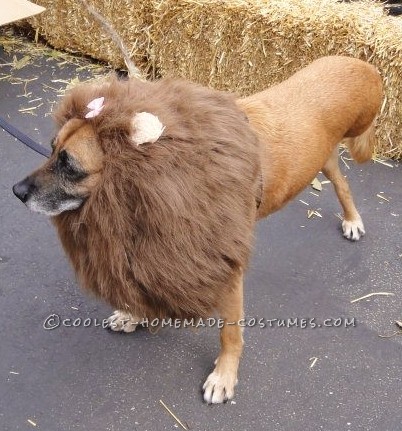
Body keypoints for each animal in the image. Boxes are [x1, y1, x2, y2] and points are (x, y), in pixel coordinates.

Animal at [12, 55, 384, 404]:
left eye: (69, 166)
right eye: (51, 149)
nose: (16, 191)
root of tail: (362, 65)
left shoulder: (224, 268)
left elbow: (229, 333)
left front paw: (224, 376)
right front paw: (135, 315)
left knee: (344, 186)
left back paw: (353, 220)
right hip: (324, 157)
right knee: (343, 182)